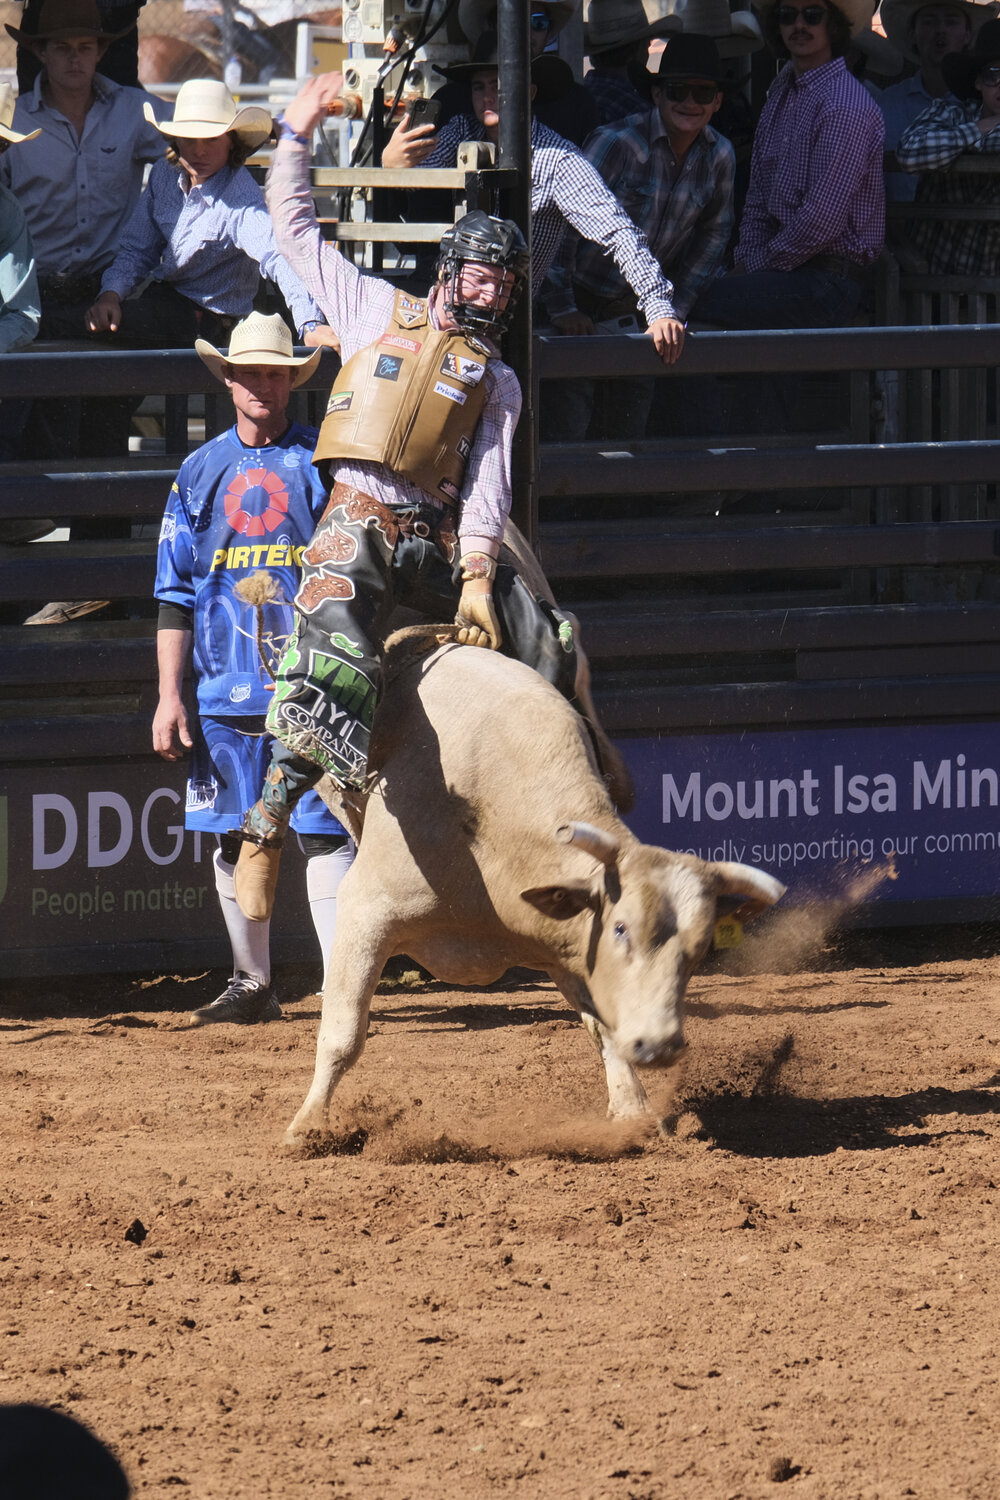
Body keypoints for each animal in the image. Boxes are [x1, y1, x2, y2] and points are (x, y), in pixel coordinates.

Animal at [283, 632, 785, 1145]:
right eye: (621, 928)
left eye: (701, 948)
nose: (660, 1045)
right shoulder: (366, 909)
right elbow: (344, 1033)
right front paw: (308, 1126)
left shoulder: (569, 945)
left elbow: (603, 1027)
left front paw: (635, 1112)